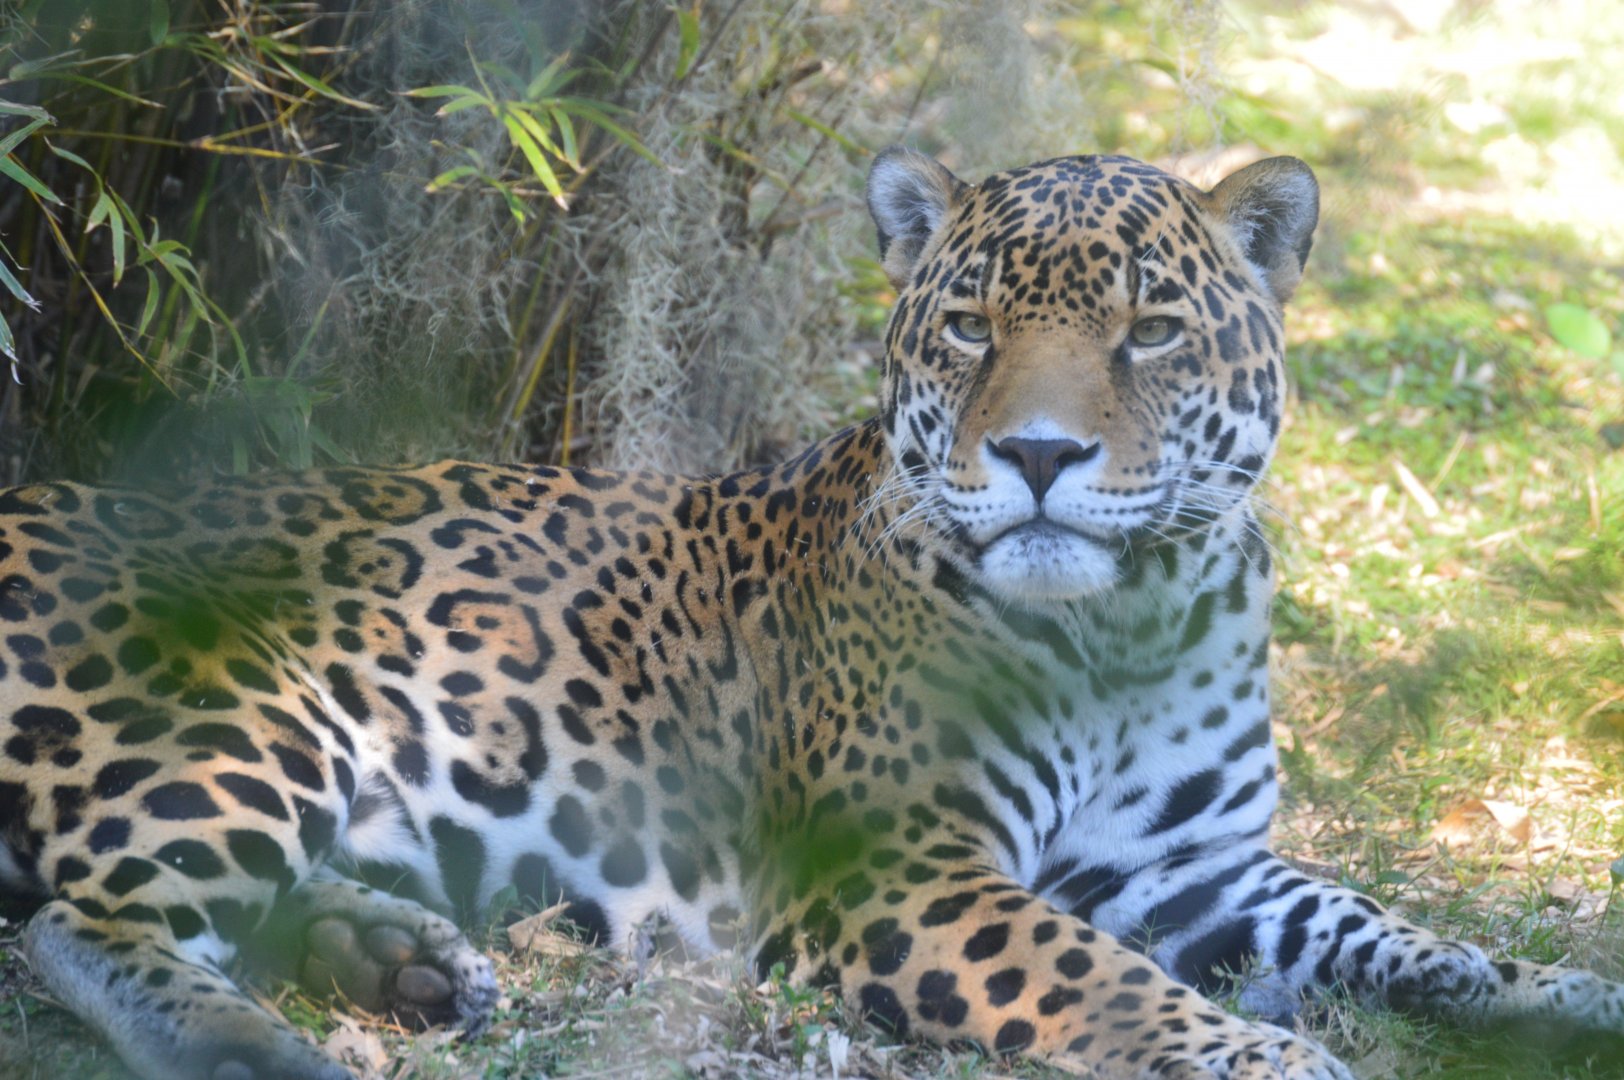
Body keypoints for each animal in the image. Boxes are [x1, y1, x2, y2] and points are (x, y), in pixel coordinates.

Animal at [4, 146, 1623, 1080]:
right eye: (968, 326)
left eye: (1150, 330)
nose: (1039, 456)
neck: (1123, 633)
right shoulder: (898, 871)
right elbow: (1102, 985)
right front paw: (1271, 1065)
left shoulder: (1195, 872)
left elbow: (1396, 932)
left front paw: (1563, 993)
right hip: (240, 713)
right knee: (78, 925)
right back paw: (256, 1047)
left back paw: (403, 958)